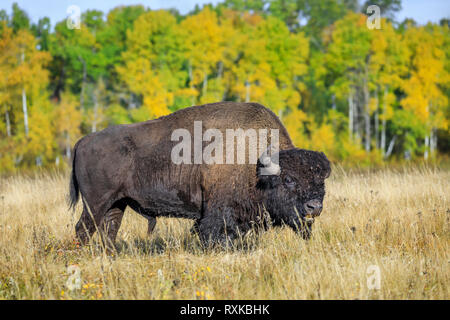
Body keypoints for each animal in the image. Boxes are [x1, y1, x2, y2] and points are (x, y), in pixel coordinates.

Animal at [70, 102, 330, 250]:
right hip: (95, 203)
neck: (256, 163)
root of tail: (83, 141)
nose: (314, 207)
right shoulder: (218, 214)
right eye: (289, 180)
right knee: (83, 229)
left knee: (109, 230)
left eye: (321, 180)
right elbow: (214, 235)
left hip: (117, 203)